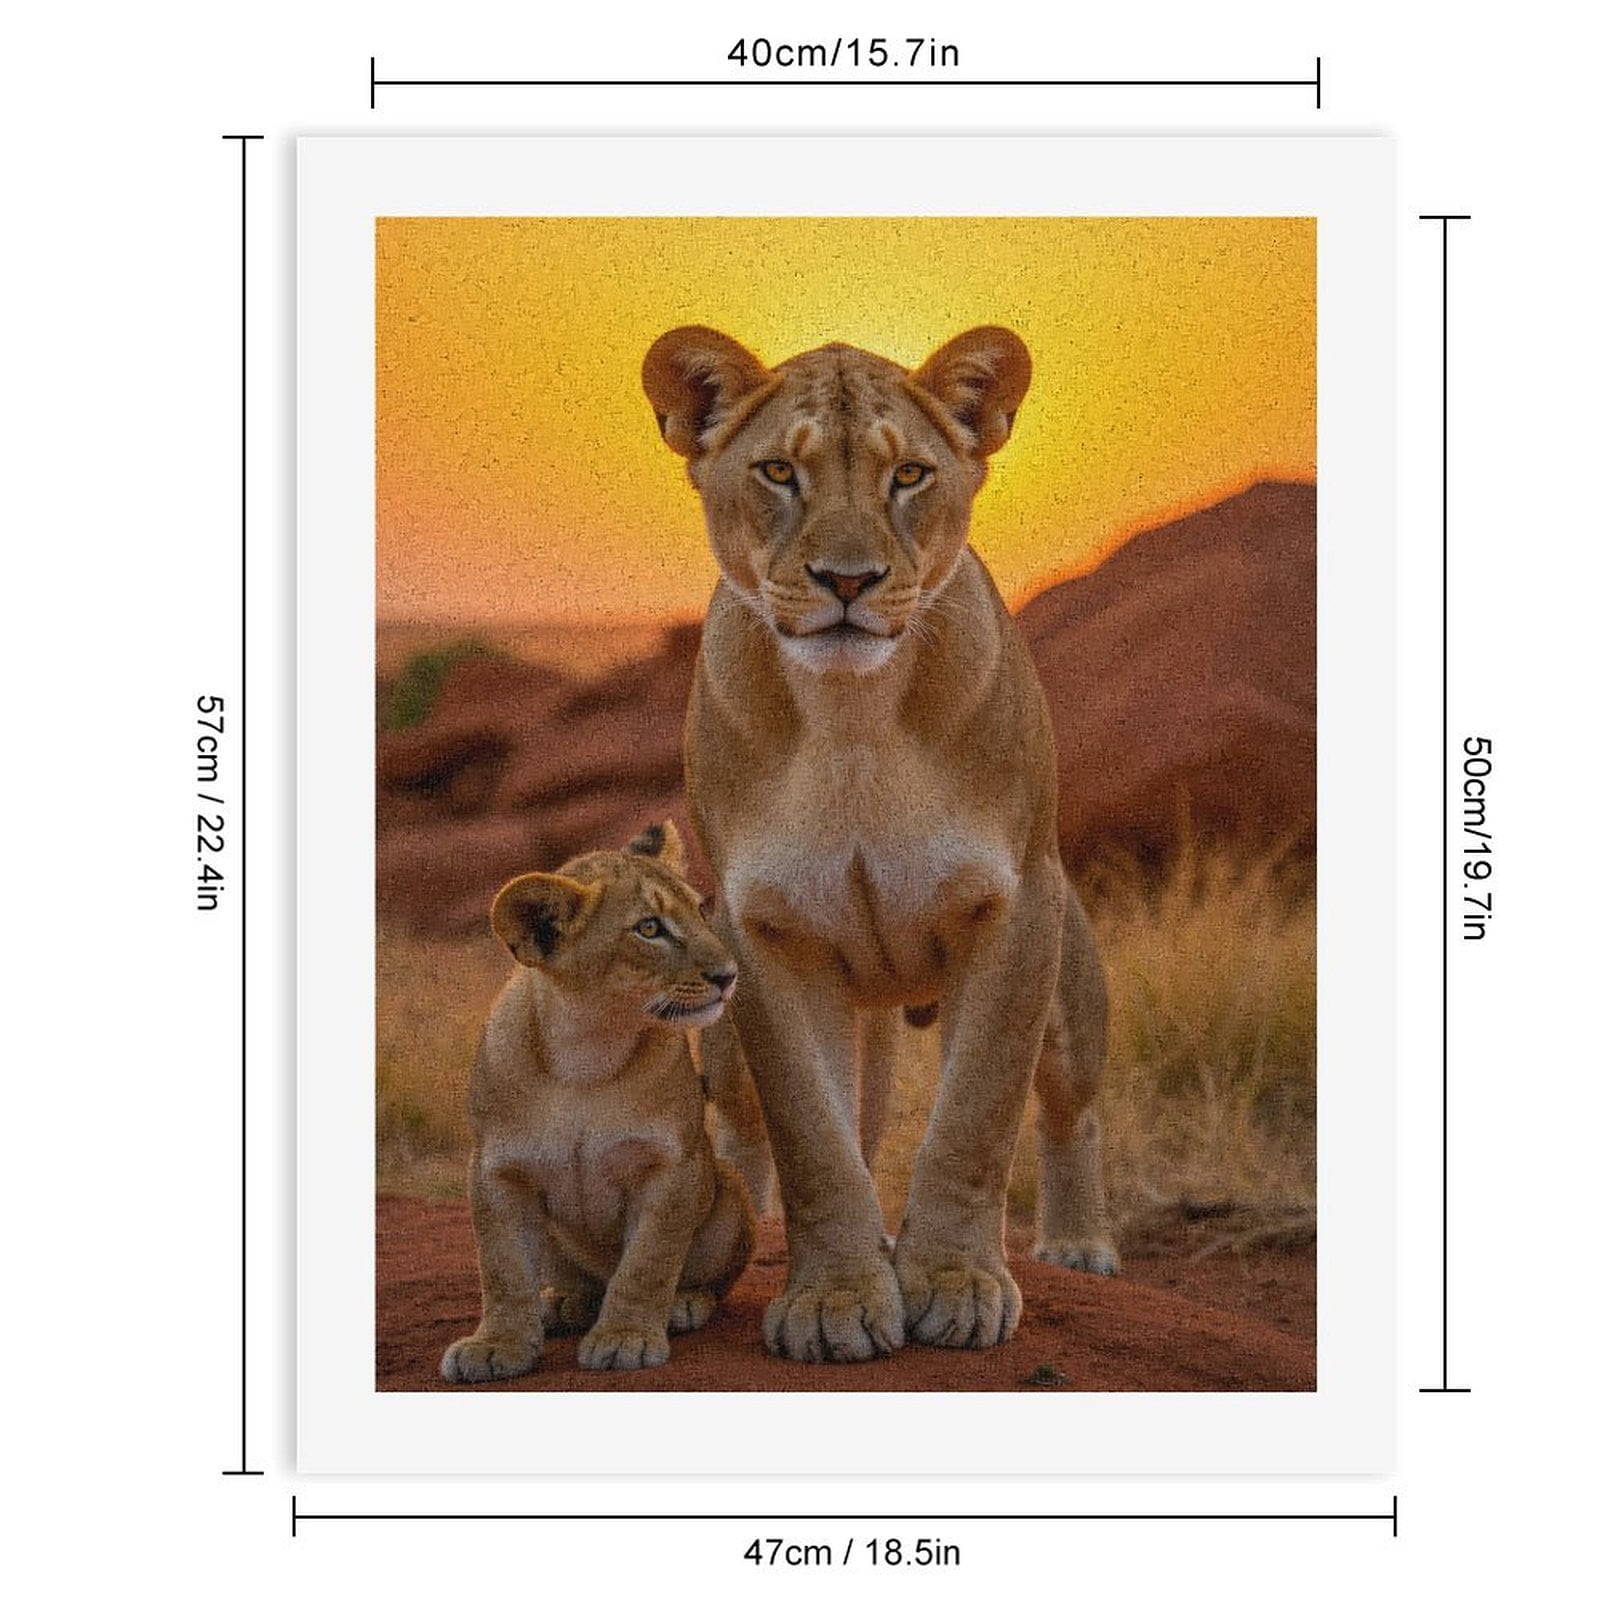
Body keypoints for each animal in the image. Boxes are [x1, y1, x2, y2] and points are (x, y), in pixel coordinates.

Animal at [439, 822, 754, 1380]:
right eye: (649, 928)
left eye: (702, 911)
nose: (728, 974)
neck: (587, 1048)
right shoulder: (497, 1170)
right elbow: (501, 1270)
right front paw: (496, 1344)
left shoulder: (673, 1166)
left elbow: (647, 1264)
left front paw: (626, 1336)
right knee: (581, 1283)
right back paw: (563, 1302)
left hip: (727, 1189)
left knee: (700, 1279)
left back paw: (683, 1304)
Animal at [643, 325, 1117, 1364]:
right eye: (780, 471)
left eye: (909, 475)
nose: (849, 581)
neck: (854, 716)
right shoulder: (762, 931)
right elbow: (813, 1143)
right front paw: (835, 1299)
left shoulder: (1015, 905)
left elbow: (977, 1117)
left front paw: (959, 1285)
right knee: (766, 1131)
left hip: (1072, 991)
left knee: (1070, 1114)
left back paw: (1078, 1244)